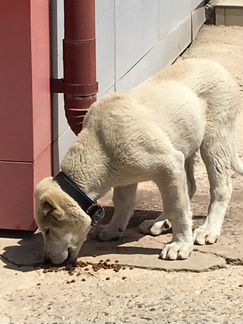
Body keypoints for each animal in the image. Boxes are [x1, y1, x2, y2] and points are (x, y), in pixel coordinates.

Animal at [35, 58, 242, 264]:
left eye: (48, 230)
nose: (46, 261)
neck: (98, 145)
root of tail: (215, 64)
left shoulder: (169, 163)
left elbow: (177, 208)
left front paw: (180, 244)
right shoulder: (126, 176)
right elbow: (123, 202)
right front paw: (113, 230)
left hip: (214, 139)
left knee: (220, 187)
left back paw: (208, 229)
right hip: (185, 142)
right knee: (188, 187)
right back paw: (160, 222)